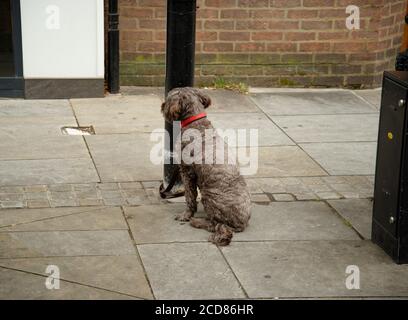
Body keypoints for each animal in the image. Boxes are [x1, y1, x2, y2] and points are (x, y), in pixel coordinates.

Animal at [160, 86, 250, 246]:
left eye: (168, 97)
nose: (162, 106)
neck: (195, 122)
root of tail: (241, 224)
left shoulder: (187, 172)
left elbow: (190, 197)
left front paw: (186, 215)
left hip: (209, 197)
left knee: (217, 225)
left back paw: (198, 221)